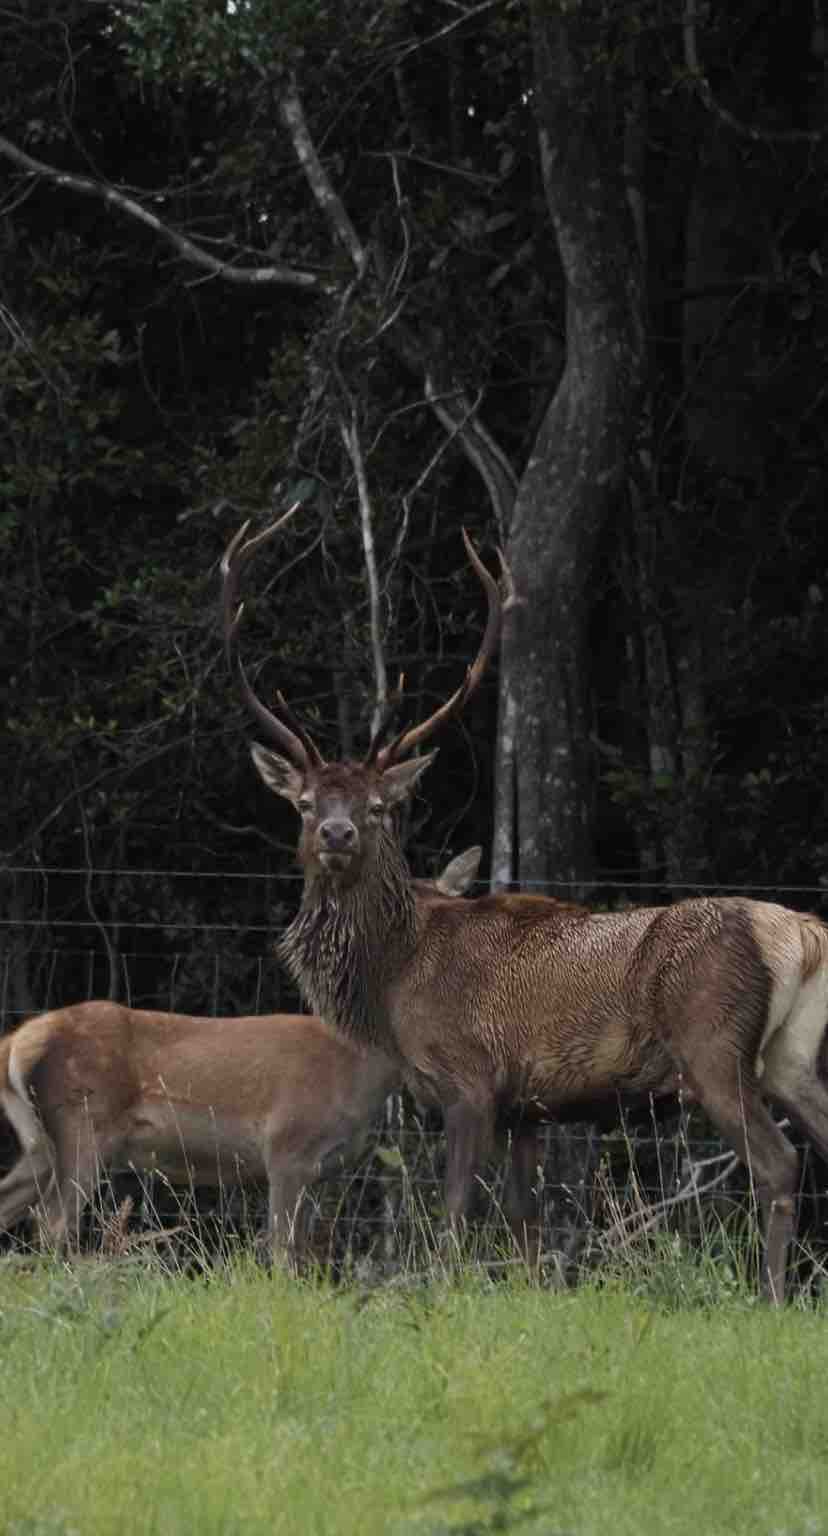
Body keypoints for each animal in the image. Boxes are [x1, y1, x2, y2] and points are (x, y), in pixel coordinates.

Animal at [0, 847, 479, 1253]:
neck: (358, 1070)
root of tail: (19, 1041)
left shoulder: (321, 1169)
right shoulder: (287, 1143)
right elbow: (282, 1250)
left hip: (40, 1141)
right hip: (83, 1119)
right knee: (53, 1219)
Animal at [224, 513, 828, 1296]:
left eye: (380, 806)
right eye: (303, 803)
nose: (336, 832)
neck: (391, 982)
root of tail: (801, 934)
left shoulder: (469, 1079)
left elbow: (455, 1216)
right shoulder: (529, 1107)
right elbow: (526, 1226)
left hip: (714, 1047)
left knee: (779, 1165)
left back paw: (773, 1294)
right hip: (791, 1056)